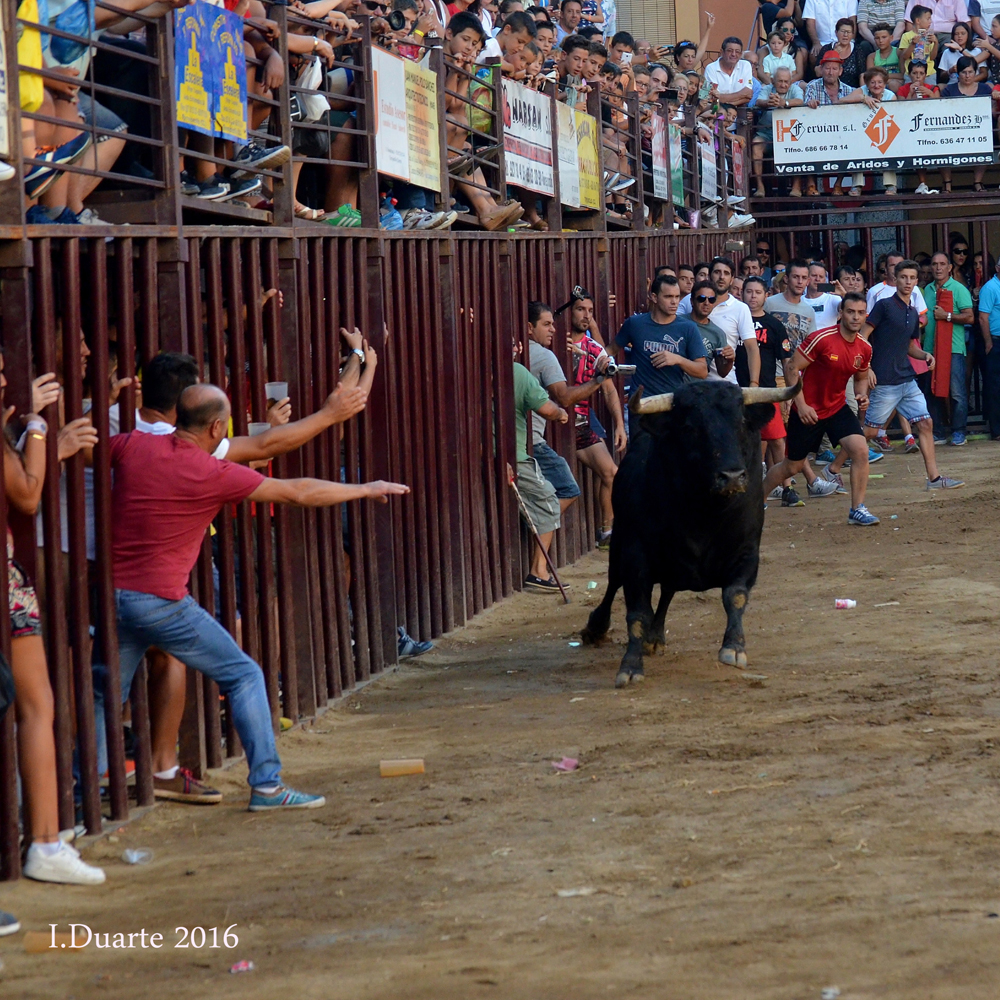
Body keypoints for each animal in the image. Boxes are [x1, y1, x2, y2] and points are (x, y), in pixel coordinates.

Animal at [584, 378, 800, 692]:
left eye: (741, 421)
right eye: (689, 427)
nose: (732, 477)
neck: (704, 513)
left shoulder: (747, 552)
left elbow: (735, 596)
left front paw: (734, 647)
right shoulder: (636, 556)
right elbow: (637, 614)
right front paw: (630, 666)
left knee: (667, 593)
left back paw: (655, 638)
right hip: (620, 543)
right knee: (614, 584)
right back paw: (596, 628)